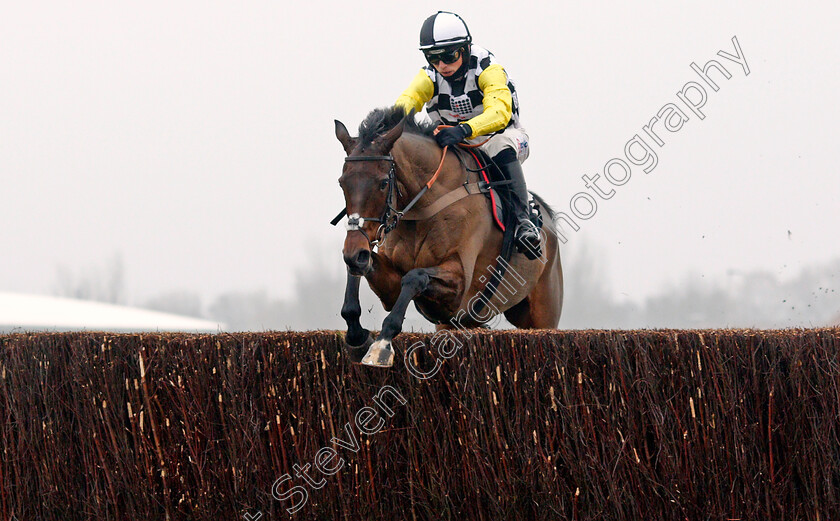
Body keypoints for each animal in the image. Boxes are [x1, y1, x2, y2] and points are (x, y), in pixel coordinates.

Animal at [334, 106, 564, 366]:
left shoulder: (459, 284)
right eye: (342, 183)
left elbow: (415, 277)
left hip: (543, 315)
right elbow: (362, 276)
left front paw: (381, 345)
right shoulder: (393, 288)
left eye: (383, 183)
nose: (354, 252)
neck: (425, 206)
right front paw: (357, 337)